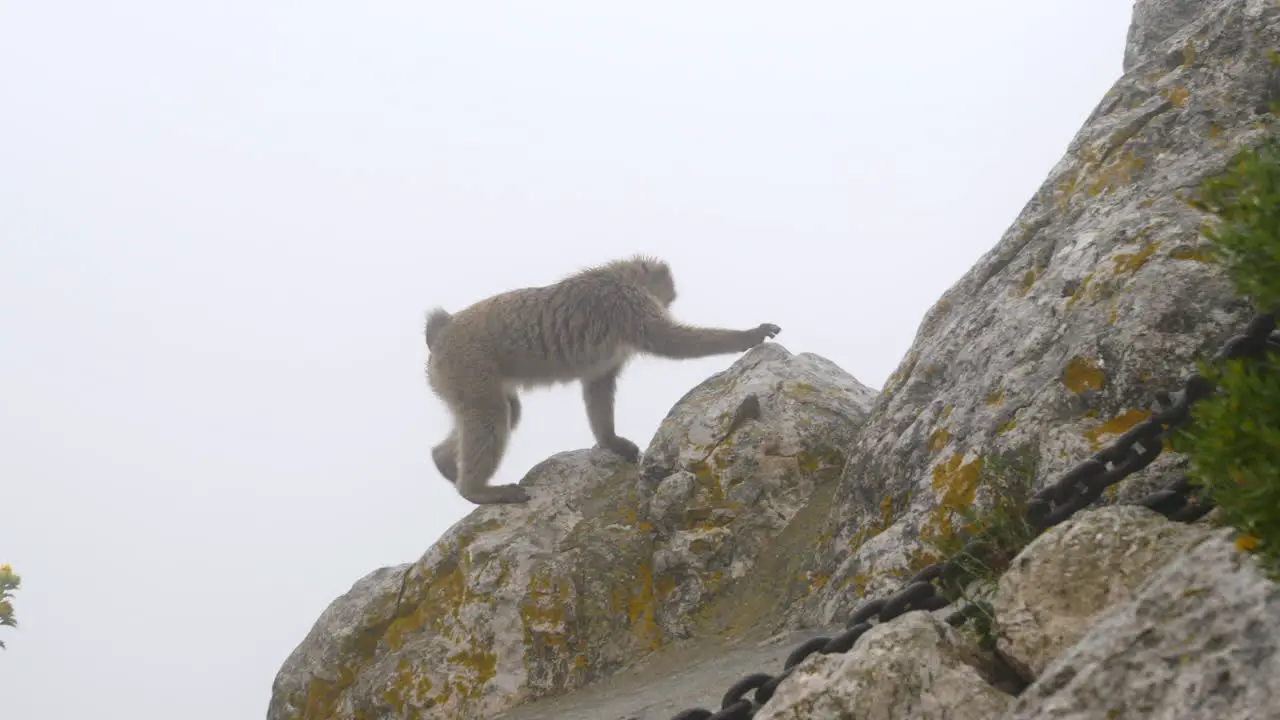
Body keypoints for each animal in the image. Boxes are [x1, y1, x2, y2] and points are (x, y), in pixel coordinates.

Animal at [424, 254, 778, 502]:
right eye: (667, 294)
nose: (666, 303)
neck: (617, 275)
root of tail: (442, 331)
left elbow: (599, 383)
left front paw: (610, 441)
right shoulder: (628, 304)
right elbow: (670, 342)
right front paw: (749, 335)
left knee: (505, 412)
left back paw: (444, 463)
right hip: (466, 366)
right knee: (492, 414)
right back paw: (475, 490)